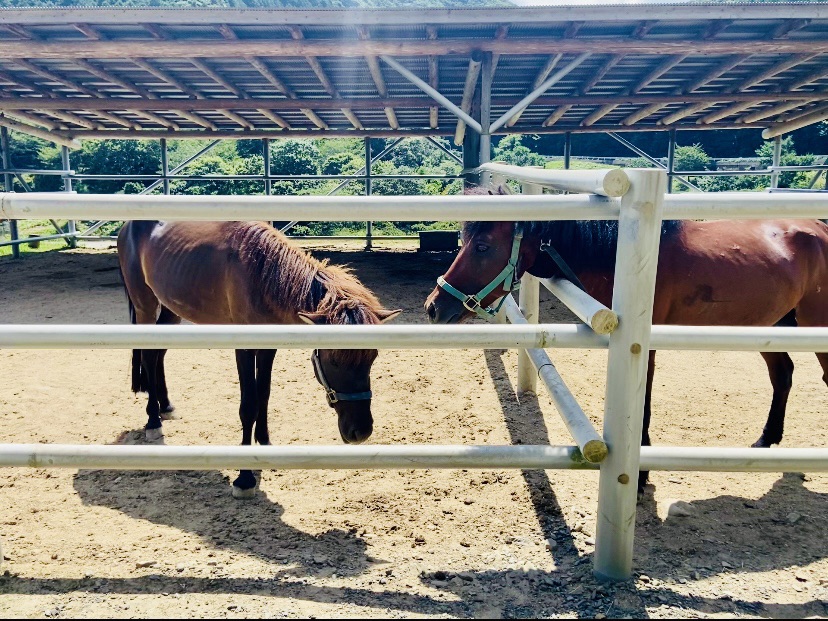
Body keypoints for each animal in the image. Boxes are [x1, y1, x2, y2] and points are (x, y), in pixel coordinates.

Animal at [118, 220, 400, 496]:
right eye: (333, 360)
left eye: (372, 357)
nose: (361, 431)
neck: (259, 274)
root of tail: (129, 225)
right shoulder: (244, 348)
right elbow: (248, 406)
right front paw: (244, 478)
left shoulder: (268, 346)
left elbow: (264, 393)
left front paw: (264, 444)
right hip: (145, 305)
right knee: (147, 356)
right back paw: (153, 420)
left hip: (171, 308)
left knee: (158, 354)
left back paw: (165, 405)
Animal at [426, 184, 828, 494]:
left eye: (482, 246)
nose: (434, 307)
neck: (629, 259)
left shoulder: (644, 347)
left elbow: (644, 403)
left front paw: (640, 478)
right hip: (770, 326)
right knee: (783, 374)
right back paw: (766, 439)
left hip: (812, 326)